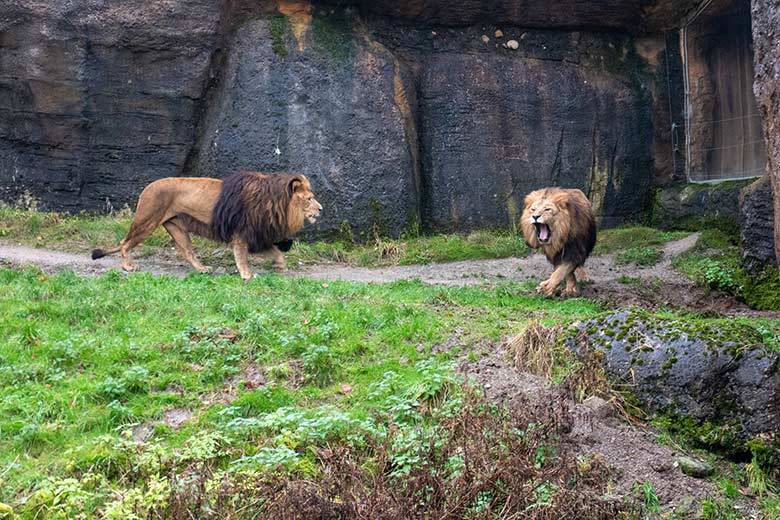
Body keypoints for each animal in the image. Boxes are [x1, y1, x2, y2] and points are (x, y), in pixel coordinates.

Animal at [90, 172, 322, 280]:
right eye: (310, 199)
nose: (321, 209)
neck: (277, 204)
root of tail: (147, 187)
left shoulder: (258, 235)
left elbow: (276, 252)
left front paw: (281, 267)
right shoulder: (242, 234)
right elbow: (241, 256)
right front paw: (247, 275)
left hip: (177, 227)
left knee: (187, 252)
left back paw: (202, 269)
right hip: (147, 218)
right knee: (124, 242)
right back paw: (128, 266)